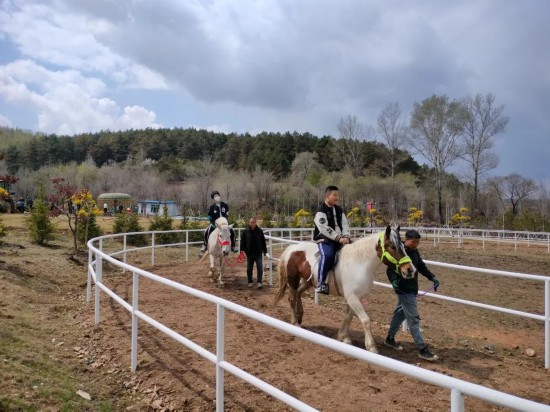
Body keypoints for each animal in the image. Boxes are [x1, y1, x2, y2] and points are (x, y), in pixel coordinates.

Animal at [274, 227, 416, 352]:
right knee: (292, 298)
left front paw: (343, 337)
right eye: (392, 247)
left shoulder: (356, 297)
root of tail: (292, 248)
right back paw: (295, 322)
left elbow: (348, 316)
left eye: (404, 247)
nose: (410, 270)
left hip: (308, 282)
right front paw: (371, 346)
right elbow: (365, 320)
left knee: (298, 294)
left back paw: (300, 316)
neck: (359, 263)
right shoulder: (352, 298)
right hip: (293, 280)